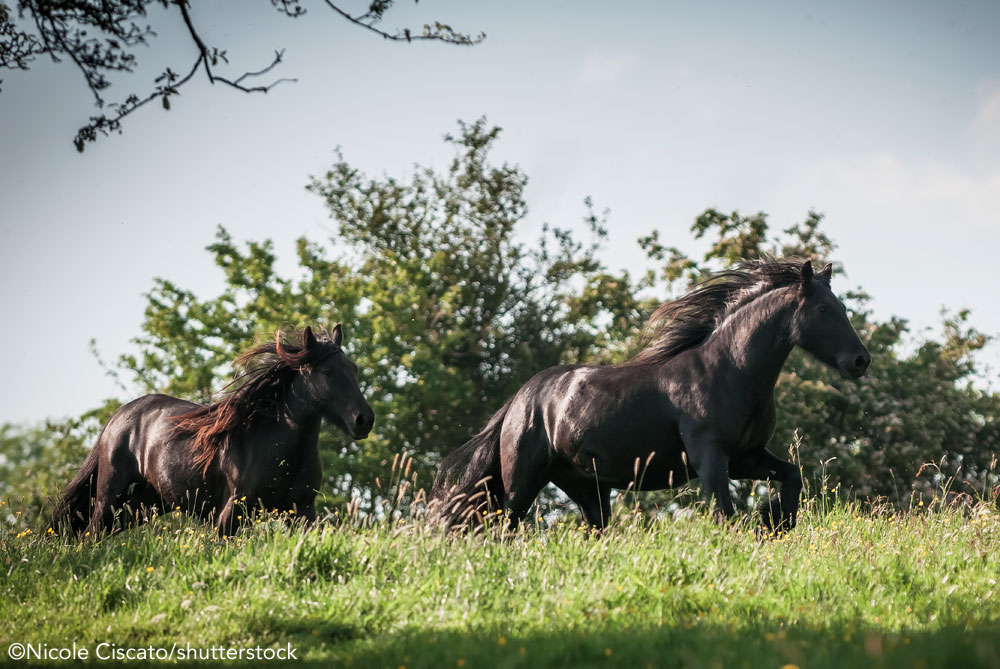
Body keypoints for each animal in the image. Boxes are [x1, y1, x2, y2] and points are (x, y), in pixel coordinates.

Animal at [50, 320, 374, 536]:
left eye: (354, 368)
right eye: (326, 371)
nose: (364, 420)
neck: (277, 449)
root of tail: (118, 417)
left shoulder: (303, 510)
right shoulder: (230, 514)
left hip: (141, 505)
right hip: (110, 499)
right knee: (91, 536)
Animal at [434, 260, 872, 532]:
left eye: (841, 306)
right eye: (822, 310)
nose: (860, 360)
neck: (731, 372)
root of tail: (519, 401)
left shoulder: (746, 457)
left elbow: (792, 476)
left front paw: (776, 522)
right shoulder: (710, 456)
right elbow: (725, 514)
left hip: (587, 489)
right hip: (522, 482)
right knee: (504, 526)